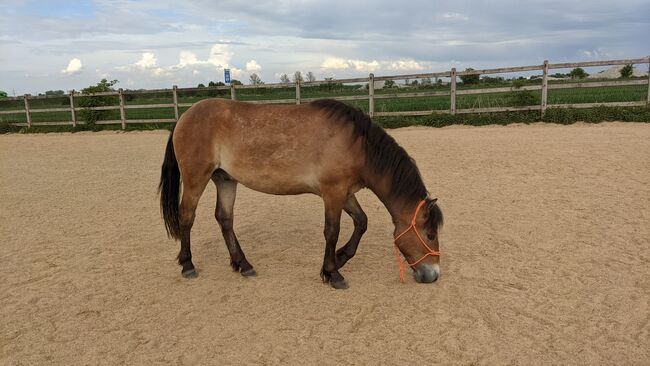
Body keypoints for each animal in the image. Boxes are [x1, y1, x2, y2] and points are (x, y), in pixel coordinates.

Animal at [158, 98, 440, 288]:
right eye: (430, 234)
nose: (433, 274)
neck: (357, 145)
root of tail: (184, 116)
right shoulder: (333, 193)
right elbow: (332, 232)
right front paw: (333, 273)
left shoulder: (345, 193)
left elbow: (361, 222)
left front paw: (339, 259)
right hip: (196, 179)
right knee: (186, 217)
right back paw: (188, 264)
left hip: (225, 180)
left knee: (224, 219)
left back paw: (243, 265)